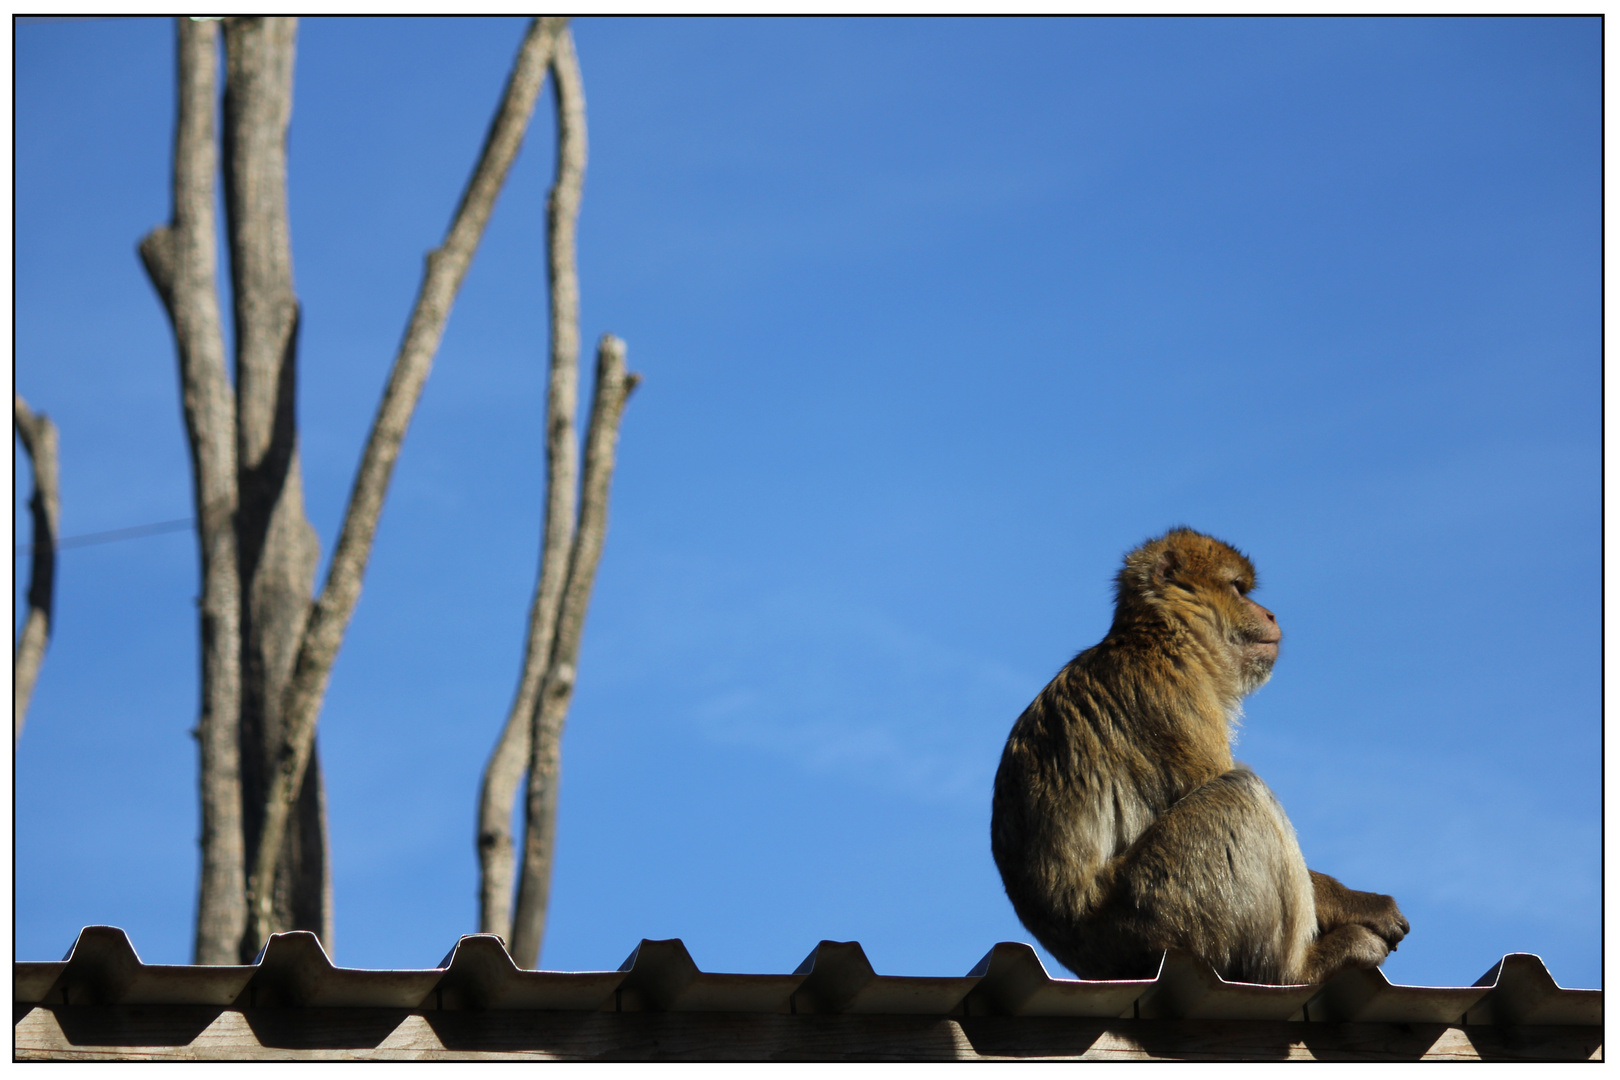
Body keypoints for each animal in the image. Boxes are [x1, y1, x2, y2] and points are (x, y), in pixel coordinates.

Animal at [984, 527, 1406, 984]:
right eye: (1238, 589)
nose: (1271, 614)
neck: (1167, 636)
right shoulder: (1171, 694)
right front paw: (1362, 904)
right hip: (1164, 908)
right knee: (1240, 792)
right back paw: (1300, 969)